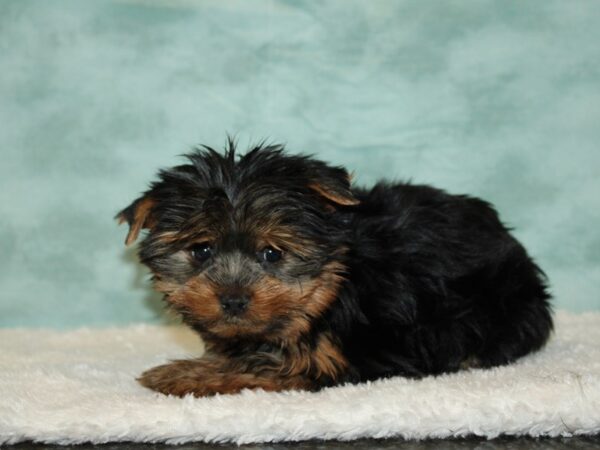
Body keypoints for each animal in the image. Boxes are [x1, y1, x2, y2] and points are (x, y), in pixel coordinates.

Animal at [117, 142, 552, 398]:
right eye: (202, 251)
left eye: (272, 254)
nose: (234, 300)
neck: (334, 284)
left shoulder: (347, 357)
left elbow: (274, 363)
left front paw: (182, 374)